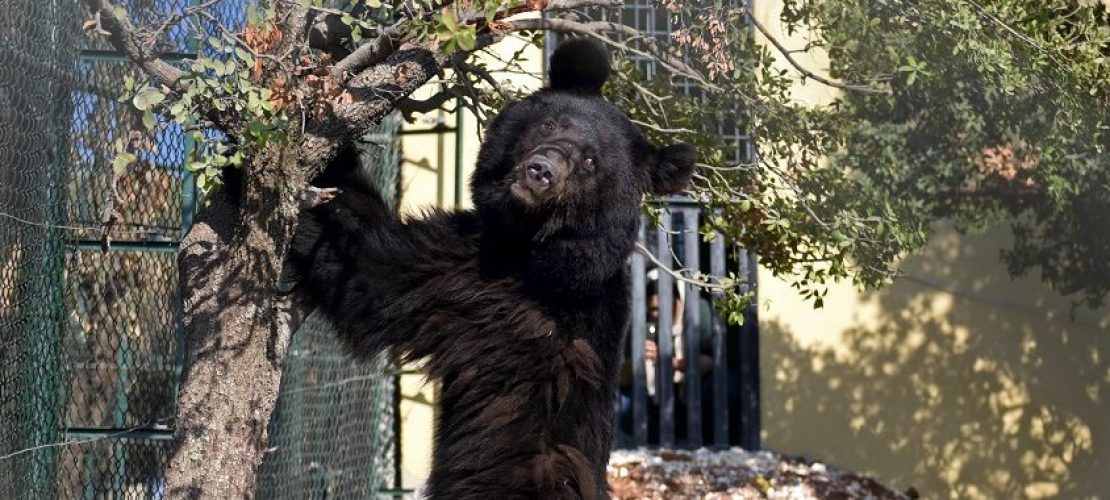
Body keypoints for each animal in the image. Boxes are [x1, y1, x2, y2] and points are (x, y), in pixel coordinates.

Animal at [286, 38, 696, 499]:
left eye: (591, 162)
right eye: (549, 125)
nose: (541, 171)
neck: (528, 249)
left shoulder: (523, 301)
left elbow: (369, 271)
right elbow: (367, 263)